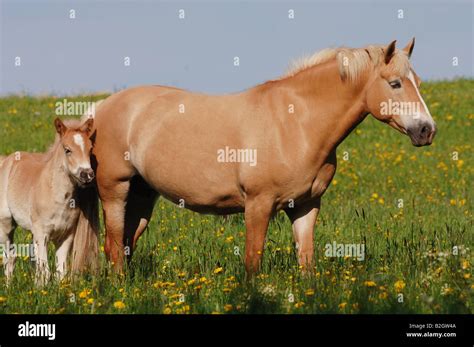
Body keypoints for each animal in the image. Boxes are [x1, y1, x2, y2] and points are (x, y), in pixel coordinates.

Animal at [0, 118, 98, 284]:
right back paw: (8, 286)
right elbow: (45, 271)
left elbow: (61, 272)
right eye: (67, 150)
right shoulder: (42, 233)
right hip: (6, 223)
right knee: (10, 257)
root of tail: (8, 159)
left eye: (90, 149)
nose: (87, 175)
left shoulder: (66, 235)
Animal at [86, 38, 436, 274]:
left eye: (418, 83)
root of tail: (101, 108)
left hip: (142, 196)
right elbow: (252, 262)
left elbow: (306, 261)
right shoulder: (258, 204)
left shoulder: (305, 206)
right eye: (395, 83)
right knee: (114, 247)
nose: (426, 130)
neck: (296, 123)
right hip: (116, 191)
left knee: (127, 243)